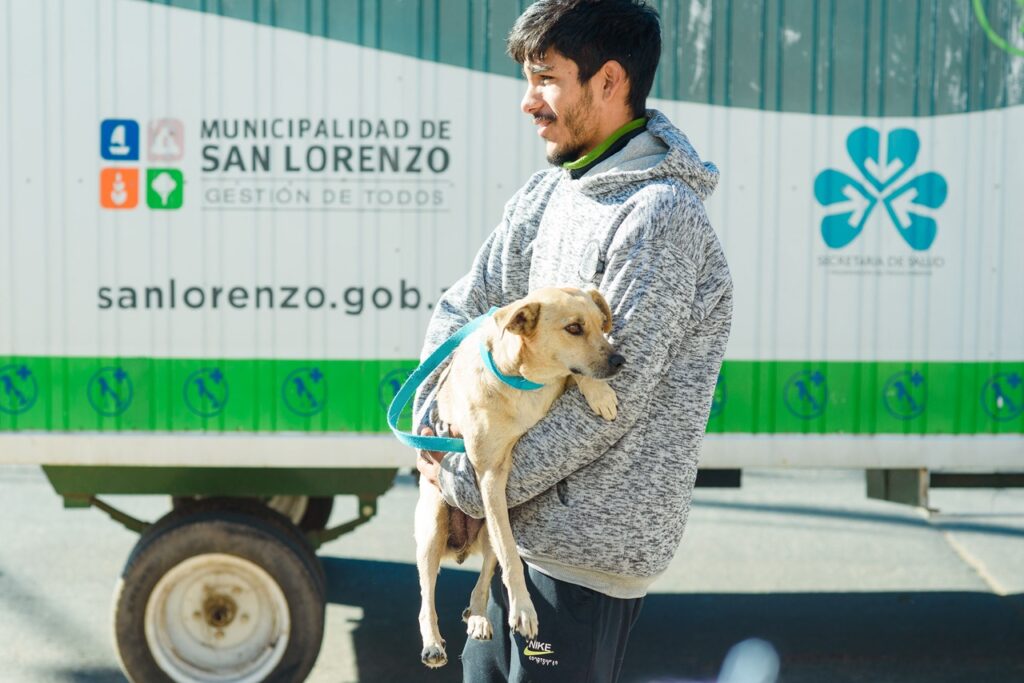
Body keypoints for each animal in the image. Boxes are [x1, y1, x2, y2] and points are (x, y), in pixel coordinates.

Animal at [413, 286, 622, 667]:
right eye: (573, 328)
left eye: (603, 324)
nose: (620, 361)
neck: (527, 382)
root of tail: (461, 546)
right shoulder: (490, 476)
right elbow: (512, 558)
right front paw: (523, 609)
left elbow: (576, 373)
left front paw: (599, 394)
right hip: (434, 525)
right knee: (427, 597)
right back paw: (433, 643)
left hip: (489, 532)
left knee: (482, 582)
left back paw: (478, 619)